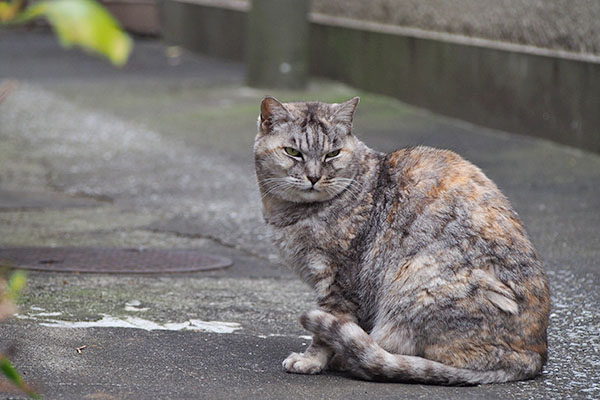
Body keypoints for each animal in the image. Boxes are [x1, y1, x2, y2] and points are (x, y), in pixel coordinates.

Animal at [253, 96, 548, 384]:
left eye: (332, 154)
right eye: (293, 152)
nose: (314, 177)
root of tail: (533, 356)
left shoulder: (337, 282)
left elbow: (324, 332)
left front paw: (311, 360)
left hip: (416, 279)